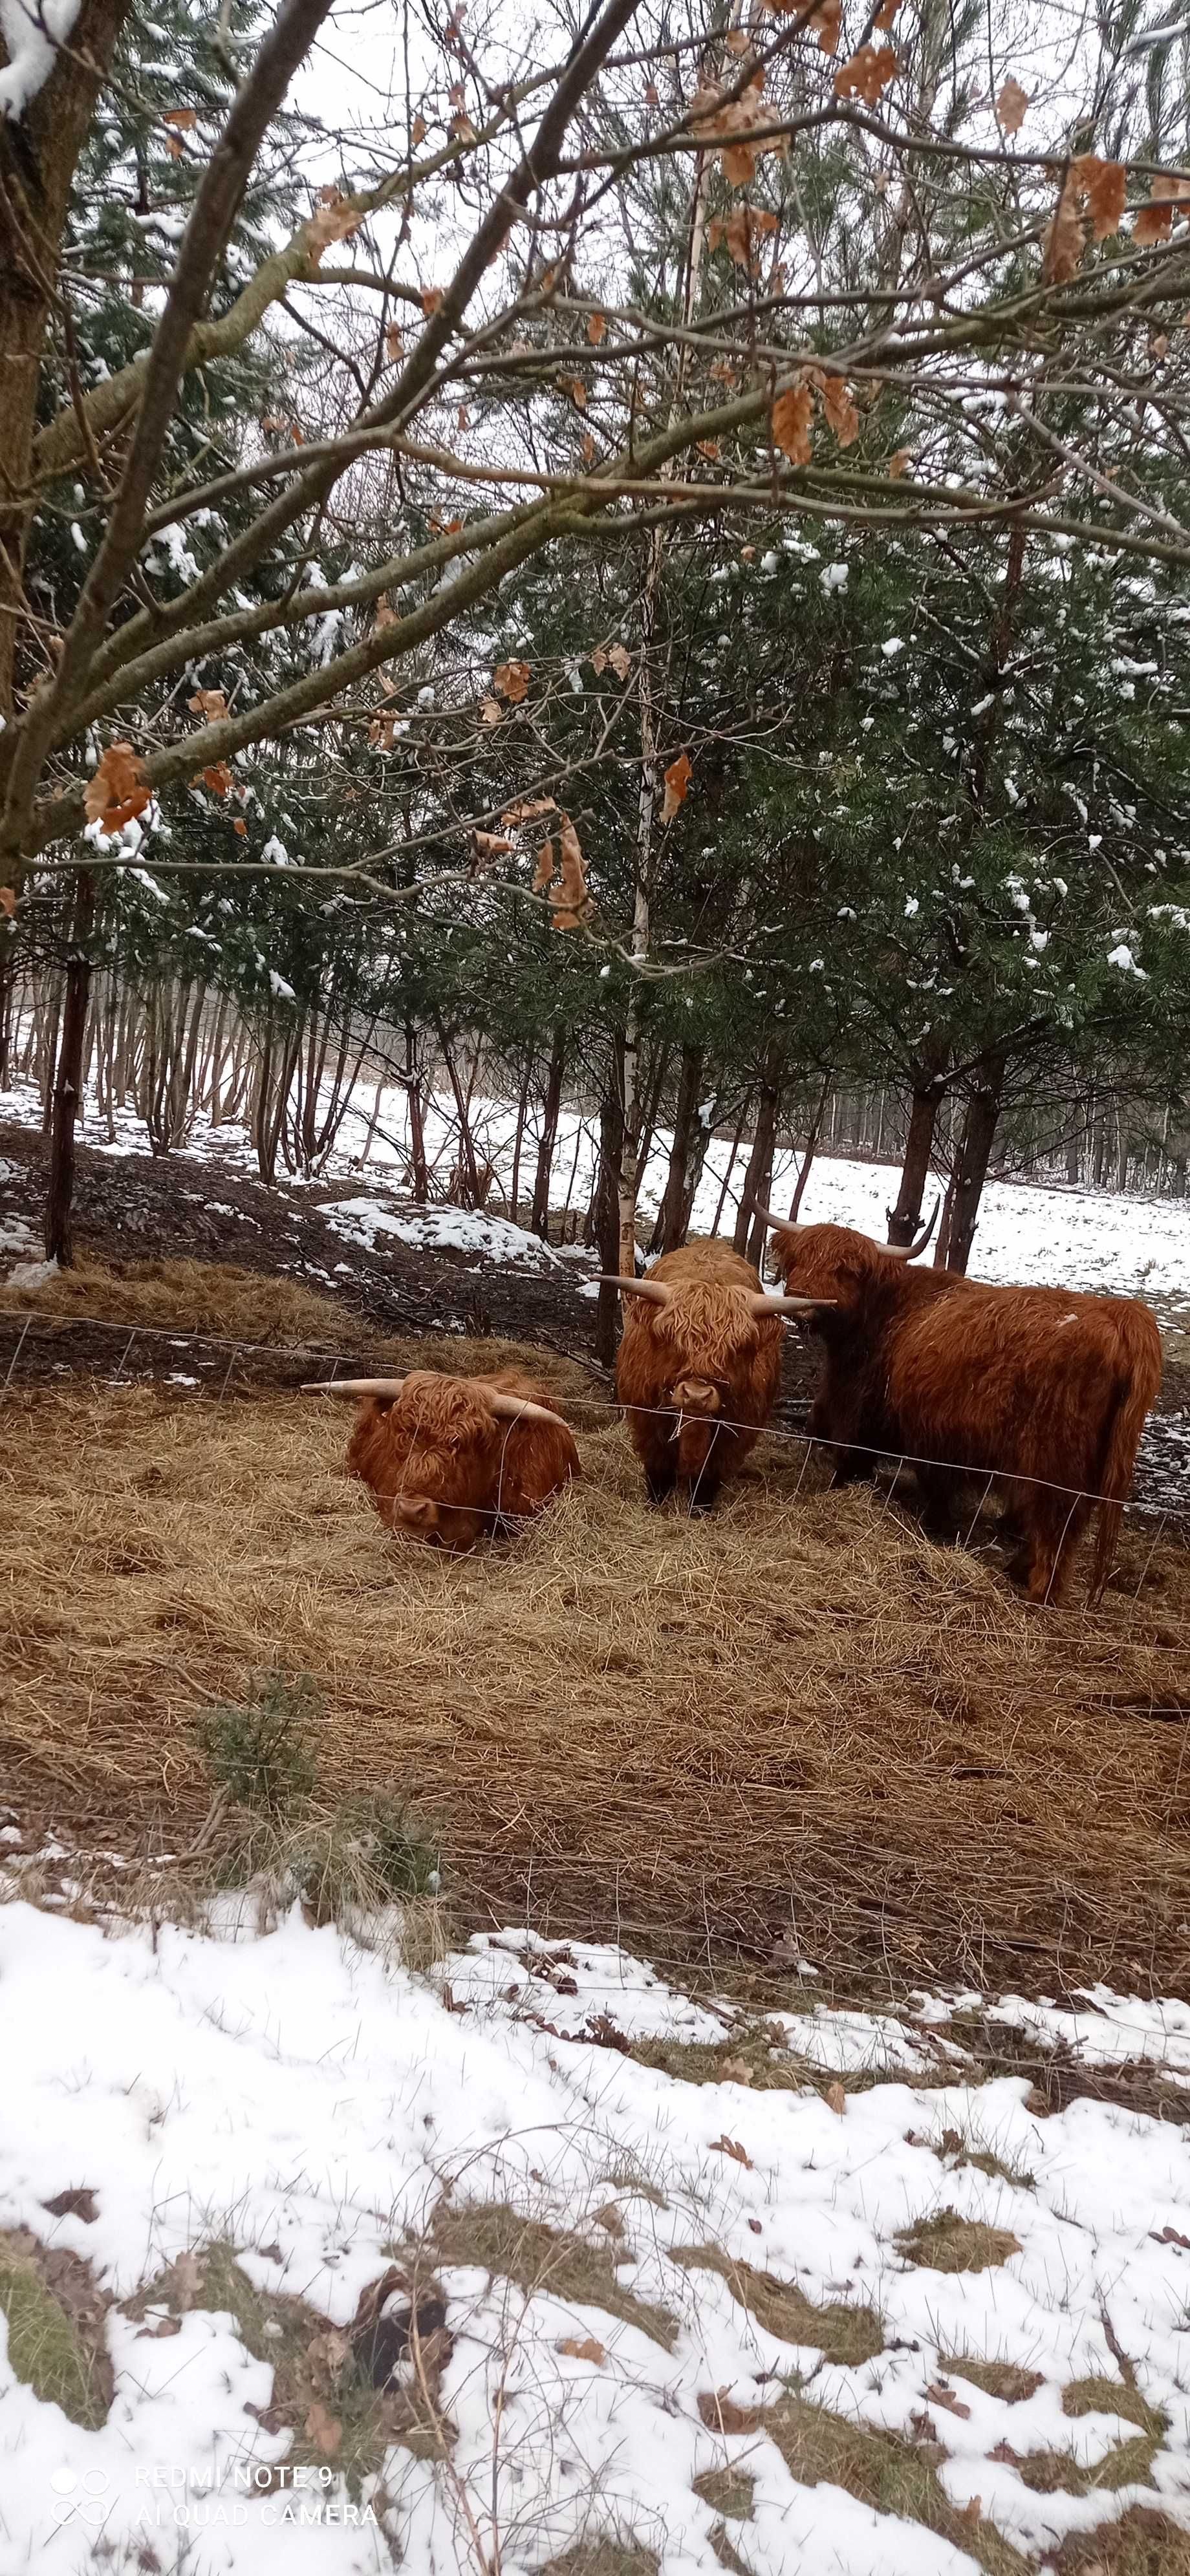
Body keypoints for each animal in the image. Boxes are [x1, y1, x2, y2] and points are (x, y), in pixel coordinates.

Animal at [752, 1210, 1164, 1607]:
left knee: (1056, 1526)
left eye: (845, 1270)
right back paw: (1017, 1570)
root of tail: (1120, 1312)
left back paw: (1037, 1595)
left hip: (1055, 1459)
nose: (803, 1304)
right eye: (800, 1258)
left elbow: (860, 1465)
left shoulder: (873, 1419)